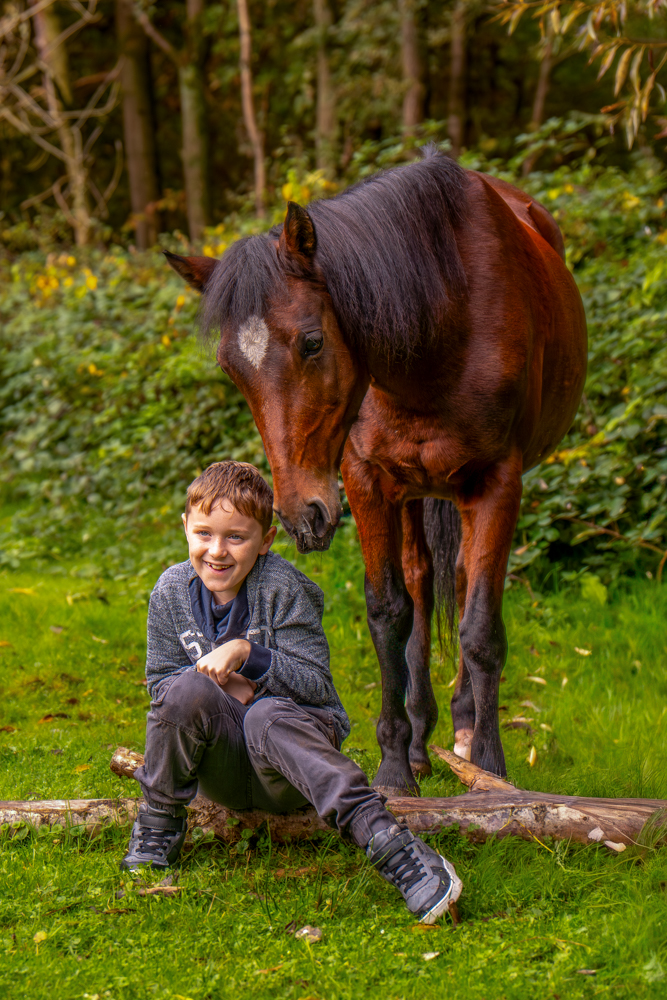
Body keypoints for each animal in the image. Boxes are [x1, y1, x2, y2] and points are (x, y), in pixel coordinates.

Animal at [166, 145, 587, 796]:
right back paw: (420, 738)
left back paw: (464, 729)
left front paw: (491, 767)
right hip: (413, 493)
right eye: (232, 368)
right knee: (422, 578)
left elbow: (481, 629)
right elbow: (389, 612)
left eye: (313, 342)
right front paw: (393, 763)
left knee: (461, 581)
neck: (444, 322)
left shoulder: (499, 482)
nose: (302, 515)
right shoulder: (367, 482)